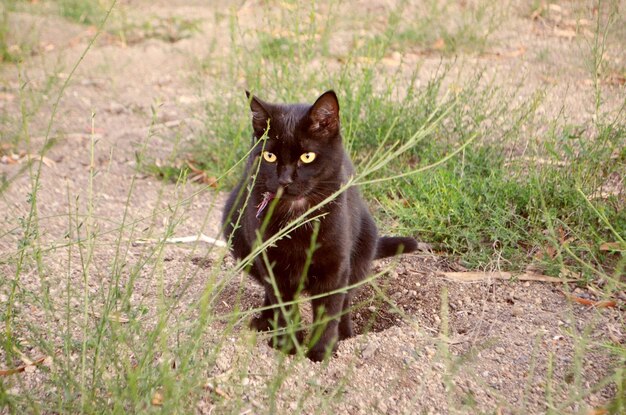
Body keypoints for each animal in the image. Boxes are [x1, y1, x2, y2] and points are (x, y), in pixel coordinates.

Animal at [222, 90, 416, 360]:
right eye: (269, 156)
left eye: (307, 156)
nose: (285, 180)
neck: (297, 218)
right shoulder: (272, 265)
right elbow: (285, 307)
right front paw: (288, 345)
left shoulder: (334, 265)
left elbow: (328, 310)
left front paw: (320, 351)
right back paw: (265, 323)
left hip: (362, 250)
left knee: (346, 300)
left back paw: (344, 333)